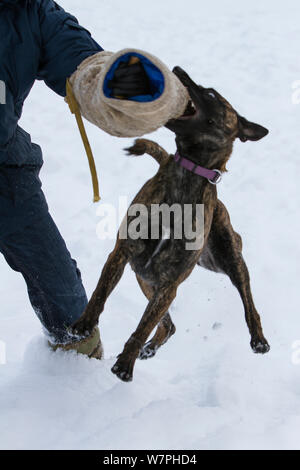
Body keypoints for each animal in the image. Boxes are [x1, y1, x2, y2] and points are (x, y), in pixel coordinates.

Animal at [72, 67, 270, 382]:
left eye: (211, 93)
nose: (178, 70)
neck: (186, 175)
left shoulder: (169, 284)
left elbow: (143, 326)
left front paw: (125, 364)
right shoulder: (122, 255)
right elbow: (100, 293)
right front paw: (84, 324)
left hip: (227, 259)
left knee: (247, 297)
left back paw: (259, 338)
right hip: (148, 280)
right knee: (168, 325)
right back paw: (151, 347)